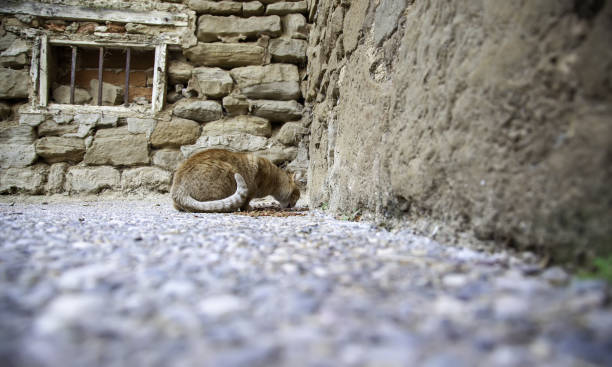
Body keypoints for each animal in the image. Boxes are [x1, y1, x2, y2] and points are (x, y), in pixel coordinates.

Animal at [171, 149, 300, 213]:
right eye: (296, 196)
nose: (294, 205)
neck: (274, 179)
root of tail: (178, 191)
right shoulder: (251, 189)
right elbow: (245, 201)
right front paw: (248, 208)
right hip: (228, 170)